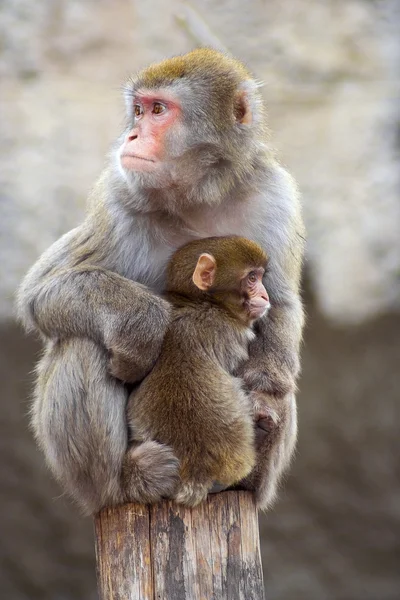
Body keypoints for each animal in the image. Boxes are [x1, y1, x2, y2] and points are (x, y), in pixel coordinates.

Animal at [127, 236, 272, 506]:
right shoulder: (231, 333)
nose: (266, 295)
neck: (203, 302)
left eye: (259, 277)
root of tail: (197, 470)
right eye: (252, 278)